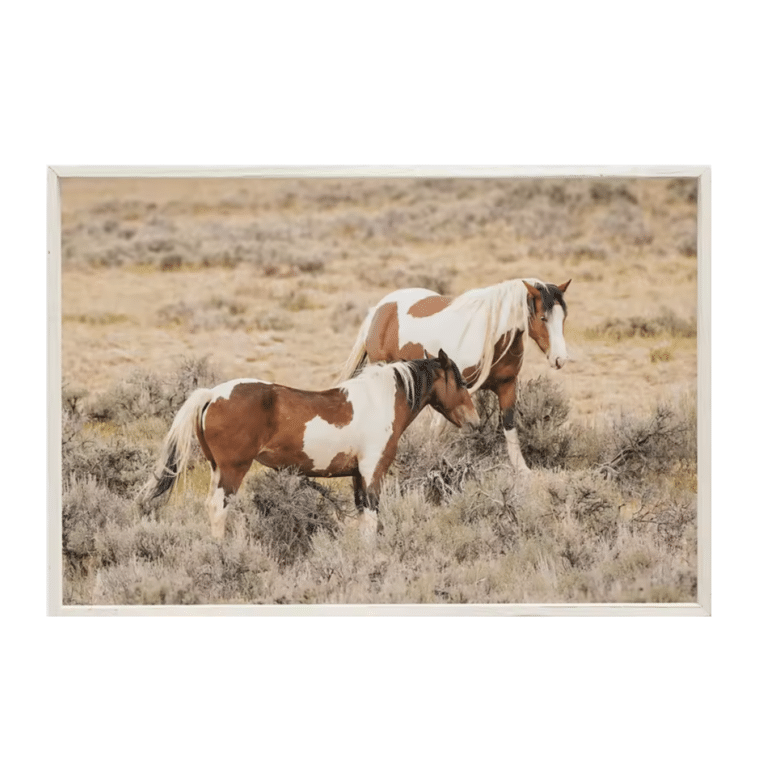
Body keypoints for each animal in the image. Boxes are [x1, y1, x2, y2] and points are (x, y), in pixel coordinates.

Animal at [140, 349, 479, 541]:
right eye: (462, 382)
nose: (474, 421)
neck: (379, 400)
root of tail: (212, 394)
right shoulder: (373, 473)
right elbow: (372, 519)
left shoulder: (358, 476)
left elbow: (362, 518)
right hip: (233, 471)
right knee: (218, 508)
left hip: (217, 470)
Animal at [337, 278, 571, 473]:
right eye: (543, 317)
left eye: (563, 318)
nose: (560, 359)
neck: (491, 334)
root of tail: (381, 307)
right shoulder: (454, 388)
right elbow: (441, 427)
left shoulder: (507, 386)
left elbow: (509, 425)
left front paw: (522, 470)